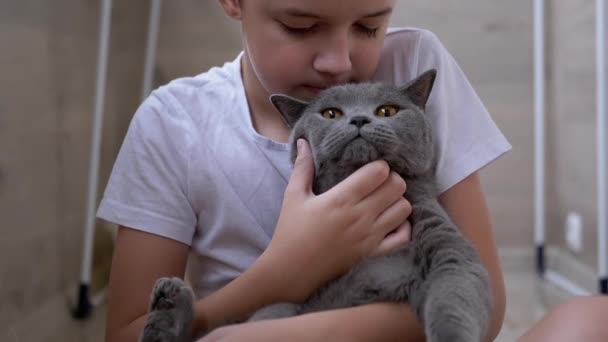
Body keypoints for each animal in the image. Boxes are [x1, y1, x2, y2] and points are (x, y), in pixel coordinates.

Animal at [140, 70, 492, 342]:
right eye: (331, 114)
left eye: (388, 111)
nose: (359, 119)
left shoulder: (450, 254)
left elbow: (452, 301)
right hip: (279, 308)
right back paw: (167, 299)